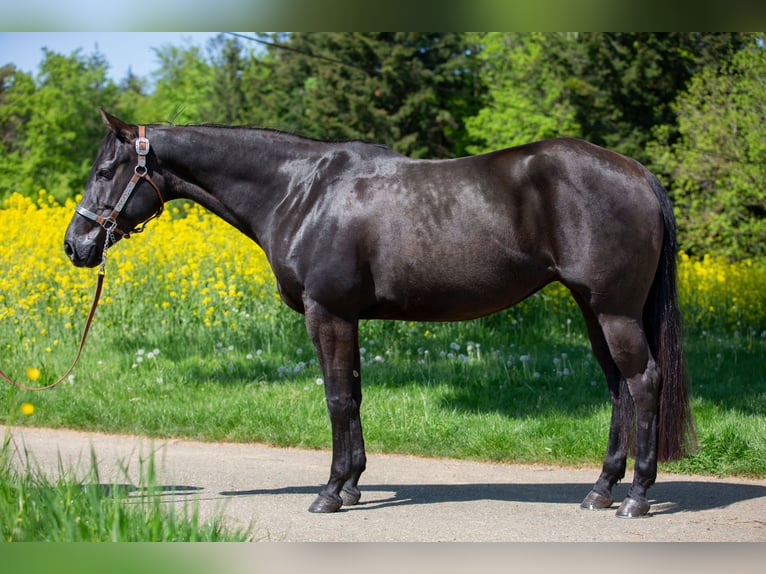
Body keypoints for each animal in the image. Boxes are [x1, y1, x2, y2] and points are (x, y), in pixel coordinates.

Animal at [64, 110, 696, 518]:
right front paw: (352, 486)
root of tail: (638, 173)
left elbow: (336, 398)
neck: (301, 191)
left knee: (643, 382)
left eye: (104, 172)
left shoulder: (327, 314)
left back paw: (637, 499)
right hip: (594, 309)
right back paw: (600, 490)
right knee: (617, 387)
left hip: (614, 312)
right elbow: (356, 394)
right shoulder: (348, 318)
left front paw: (329, 493)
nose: (76, 246)